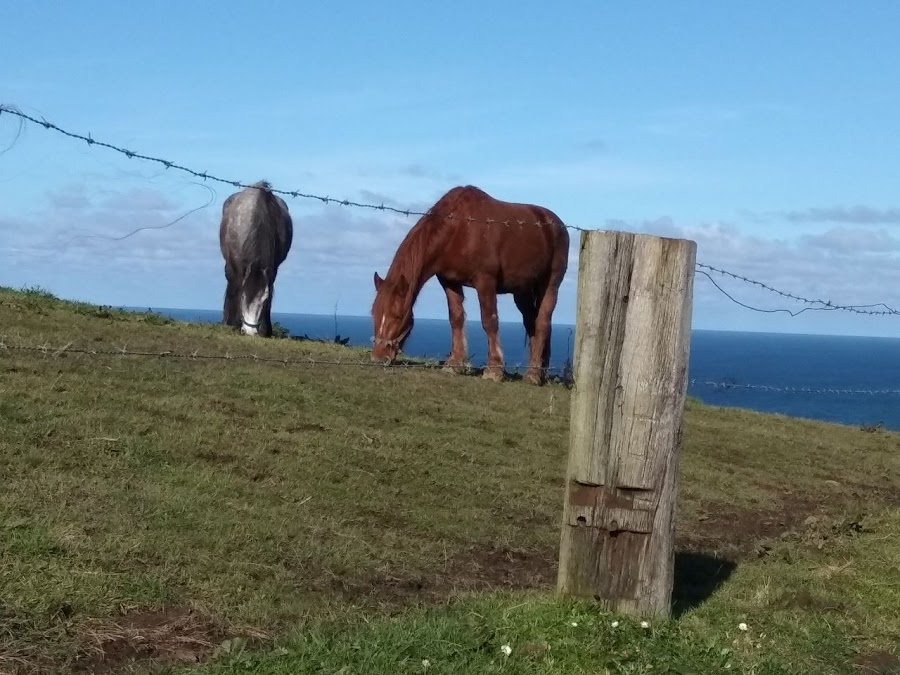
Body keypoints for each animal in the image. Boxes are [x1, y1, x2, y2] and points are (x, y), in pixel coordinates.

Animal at [219, 181, 293, 337]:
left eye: (264, 299)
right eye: (243, 297)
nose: (250, 331)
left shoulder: (272, 270)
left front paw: (266, 329)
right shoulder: (238, 267)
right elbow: (236, 288)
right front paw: (232, 324)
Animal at [371, 185, 570, 385]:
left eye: (397, 316)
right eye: (374, 314)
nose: (378, 357)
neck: (459, 228)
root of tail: (557, 224)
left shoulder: (485, 280)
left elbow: (489, 321)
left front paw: (494, 369)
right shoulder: (449, 281)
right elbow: (456, 318)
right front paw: (454, 364)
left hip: (550, 284)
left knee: (542, 322)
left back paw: (533, 374)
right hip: (522, 291)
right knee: (532, 323)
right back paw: (540, 371)